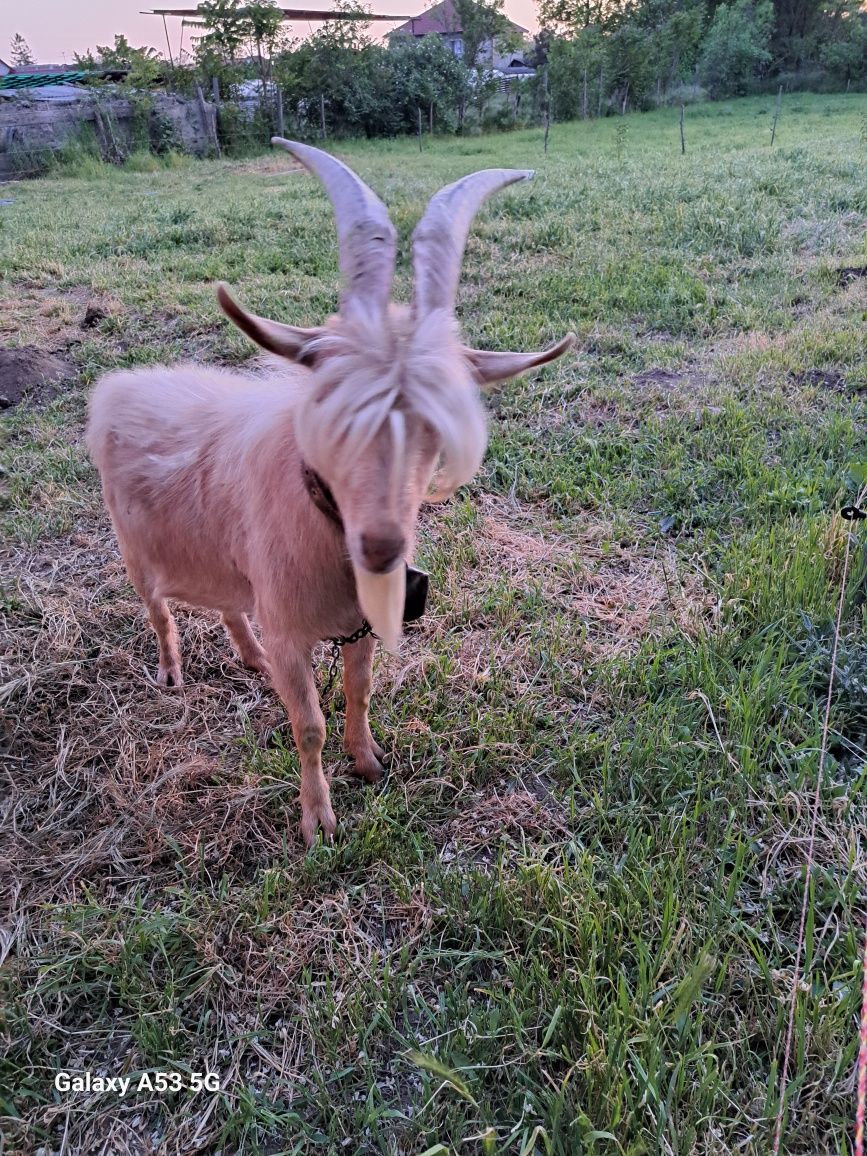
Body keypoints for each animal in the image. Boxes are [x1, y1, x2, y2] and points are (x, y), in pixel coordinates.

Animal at [86, 142, 578, 850]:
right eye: (333, 412)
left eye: (437, 425)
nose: (381, 547)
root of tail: (116, 386)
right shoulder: (294, 632)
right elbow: (308, 725)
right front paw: (317, 821)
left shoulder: (358, 623)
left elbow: (361, 689)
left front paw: (368, 761)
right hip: (134, 547)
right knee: (157, 608)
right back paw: (173, 670)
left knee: (230, 603)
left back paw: (250, 656)